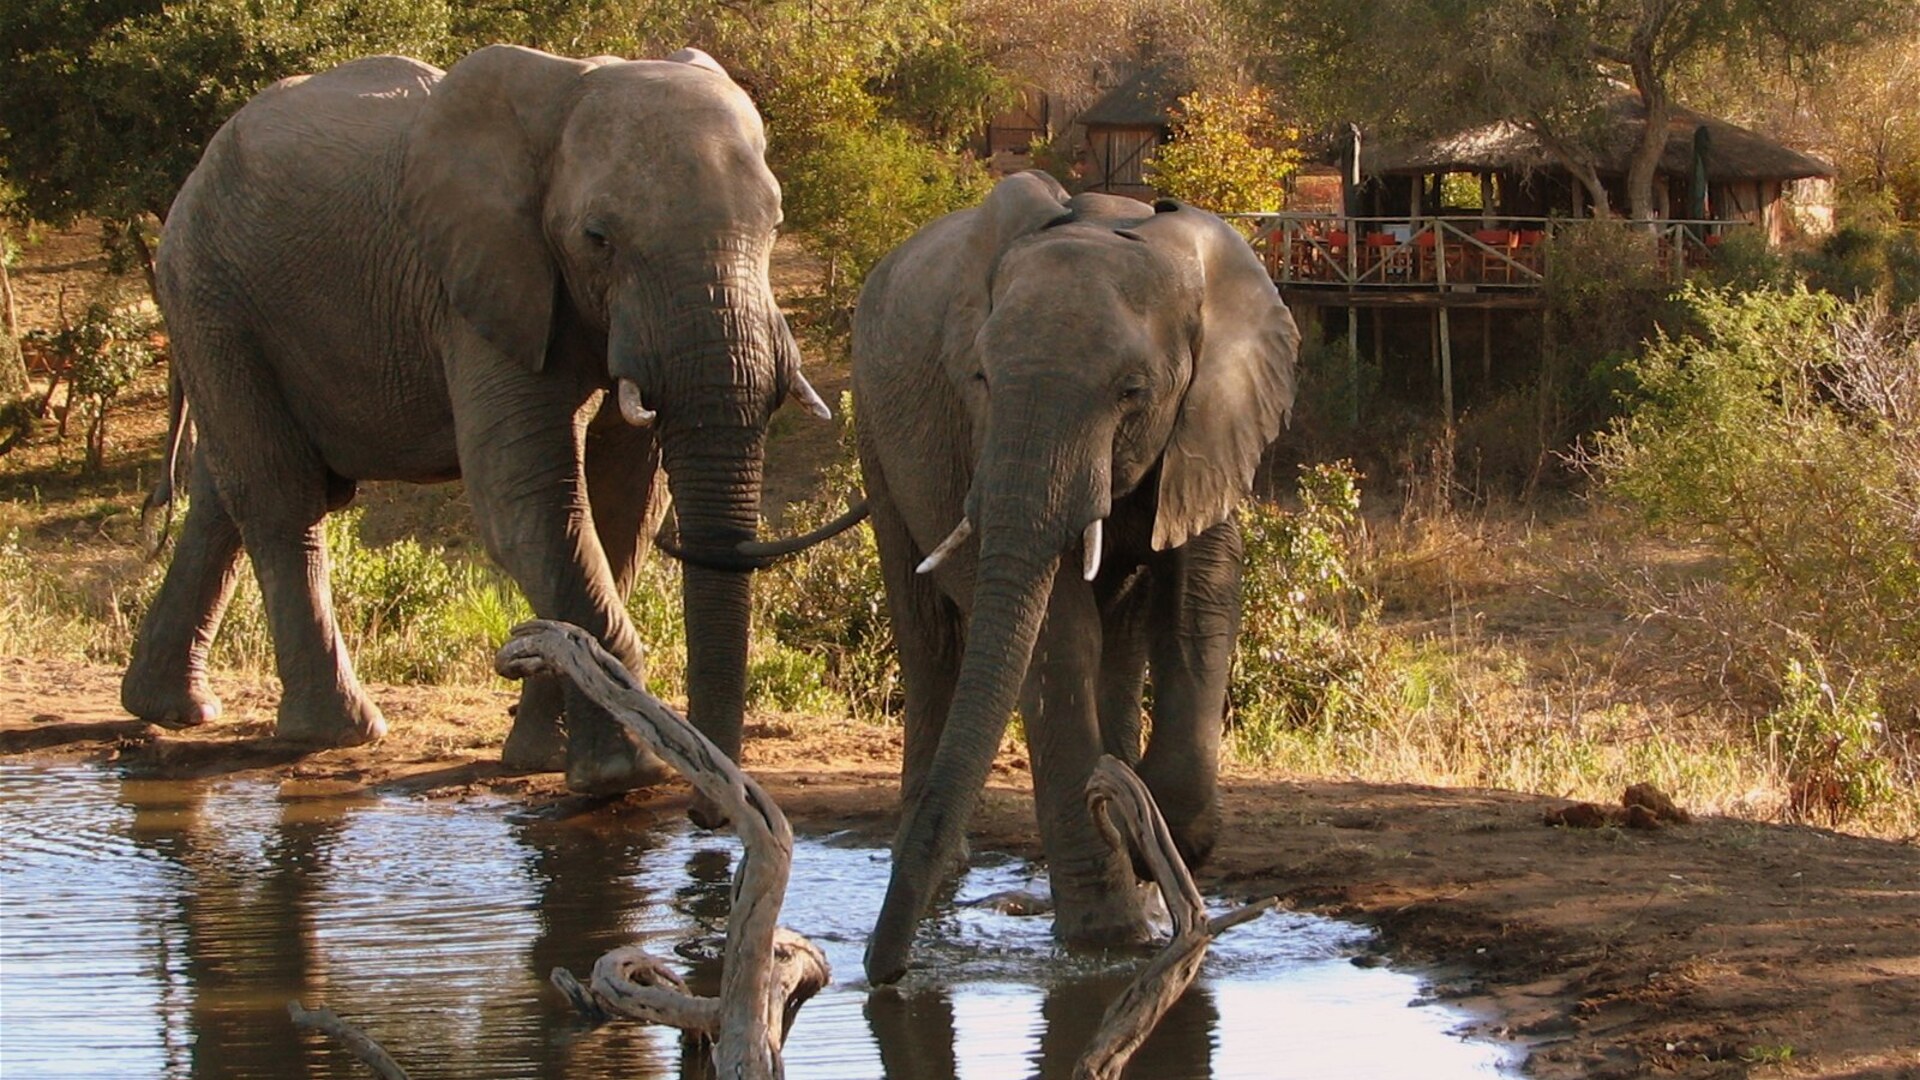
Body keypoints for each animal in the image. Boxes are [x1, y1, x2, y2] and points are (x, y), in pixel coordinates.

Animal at [121, 44, 834, 798]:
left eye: (775, 226)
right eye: (598, 239)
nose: (708, 807)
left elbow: (624, 508)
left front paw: (543, 758)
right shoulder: (477, 286)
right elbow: (530, 503)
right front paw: (618, 774)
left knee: (223, 495)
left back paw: (174, 710)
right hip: (209, 293)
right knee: (281, 494)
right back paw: (338, 732)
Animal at [852, 172, 1299, 983]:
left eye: (1132, 390)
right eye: (980, 377)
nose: (882, 973)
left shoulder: (1212, 418)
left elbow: (1202, 594)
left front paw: (1161, 839)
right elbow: (1056, 633)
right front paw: (1110, 937)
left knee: (1117, 633)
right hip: (874, 426)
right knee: (929, 636)